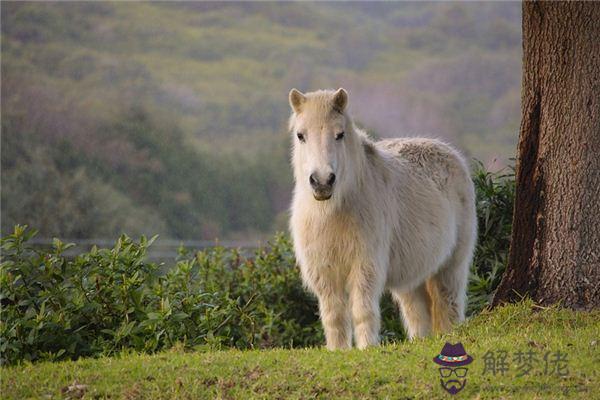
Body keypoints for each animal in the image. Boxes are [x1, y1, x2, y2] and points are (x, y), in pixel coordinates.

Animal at [288, 88, 476, 350]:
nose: (323, 182)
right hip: (412, 279)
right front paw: (338, 350)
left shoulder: (365, 266)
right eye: (300, 135)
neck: (333, 212)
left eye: (340, 134)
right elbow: (334, 316)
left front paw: (367, 348)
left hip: (450, 266)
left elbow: (362, 310)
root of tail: (451, 154)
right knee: (417, 313)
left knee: (448, 304)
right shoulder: (324, 273)